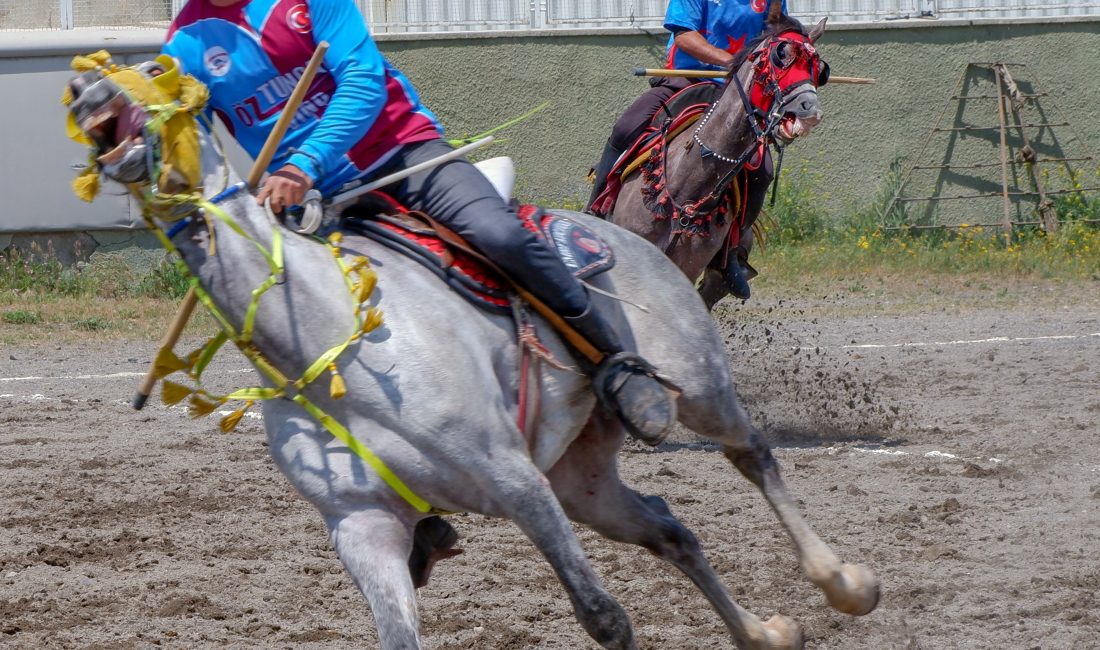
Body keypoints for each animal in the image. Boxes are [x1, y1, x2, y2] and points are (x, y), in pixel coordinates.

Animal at [79, 102, 875, 650]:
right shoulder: (363, 526)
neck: (330, 344)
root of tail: (616, 233)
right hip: (582, 481)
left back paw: (845, 583)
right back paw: (766, 633)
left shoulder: (513, 479)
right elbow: (399, 634)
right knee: (670, 530)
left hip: (698, 389)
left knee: (752, 454)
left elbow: (603, 617)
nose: (100, 120)